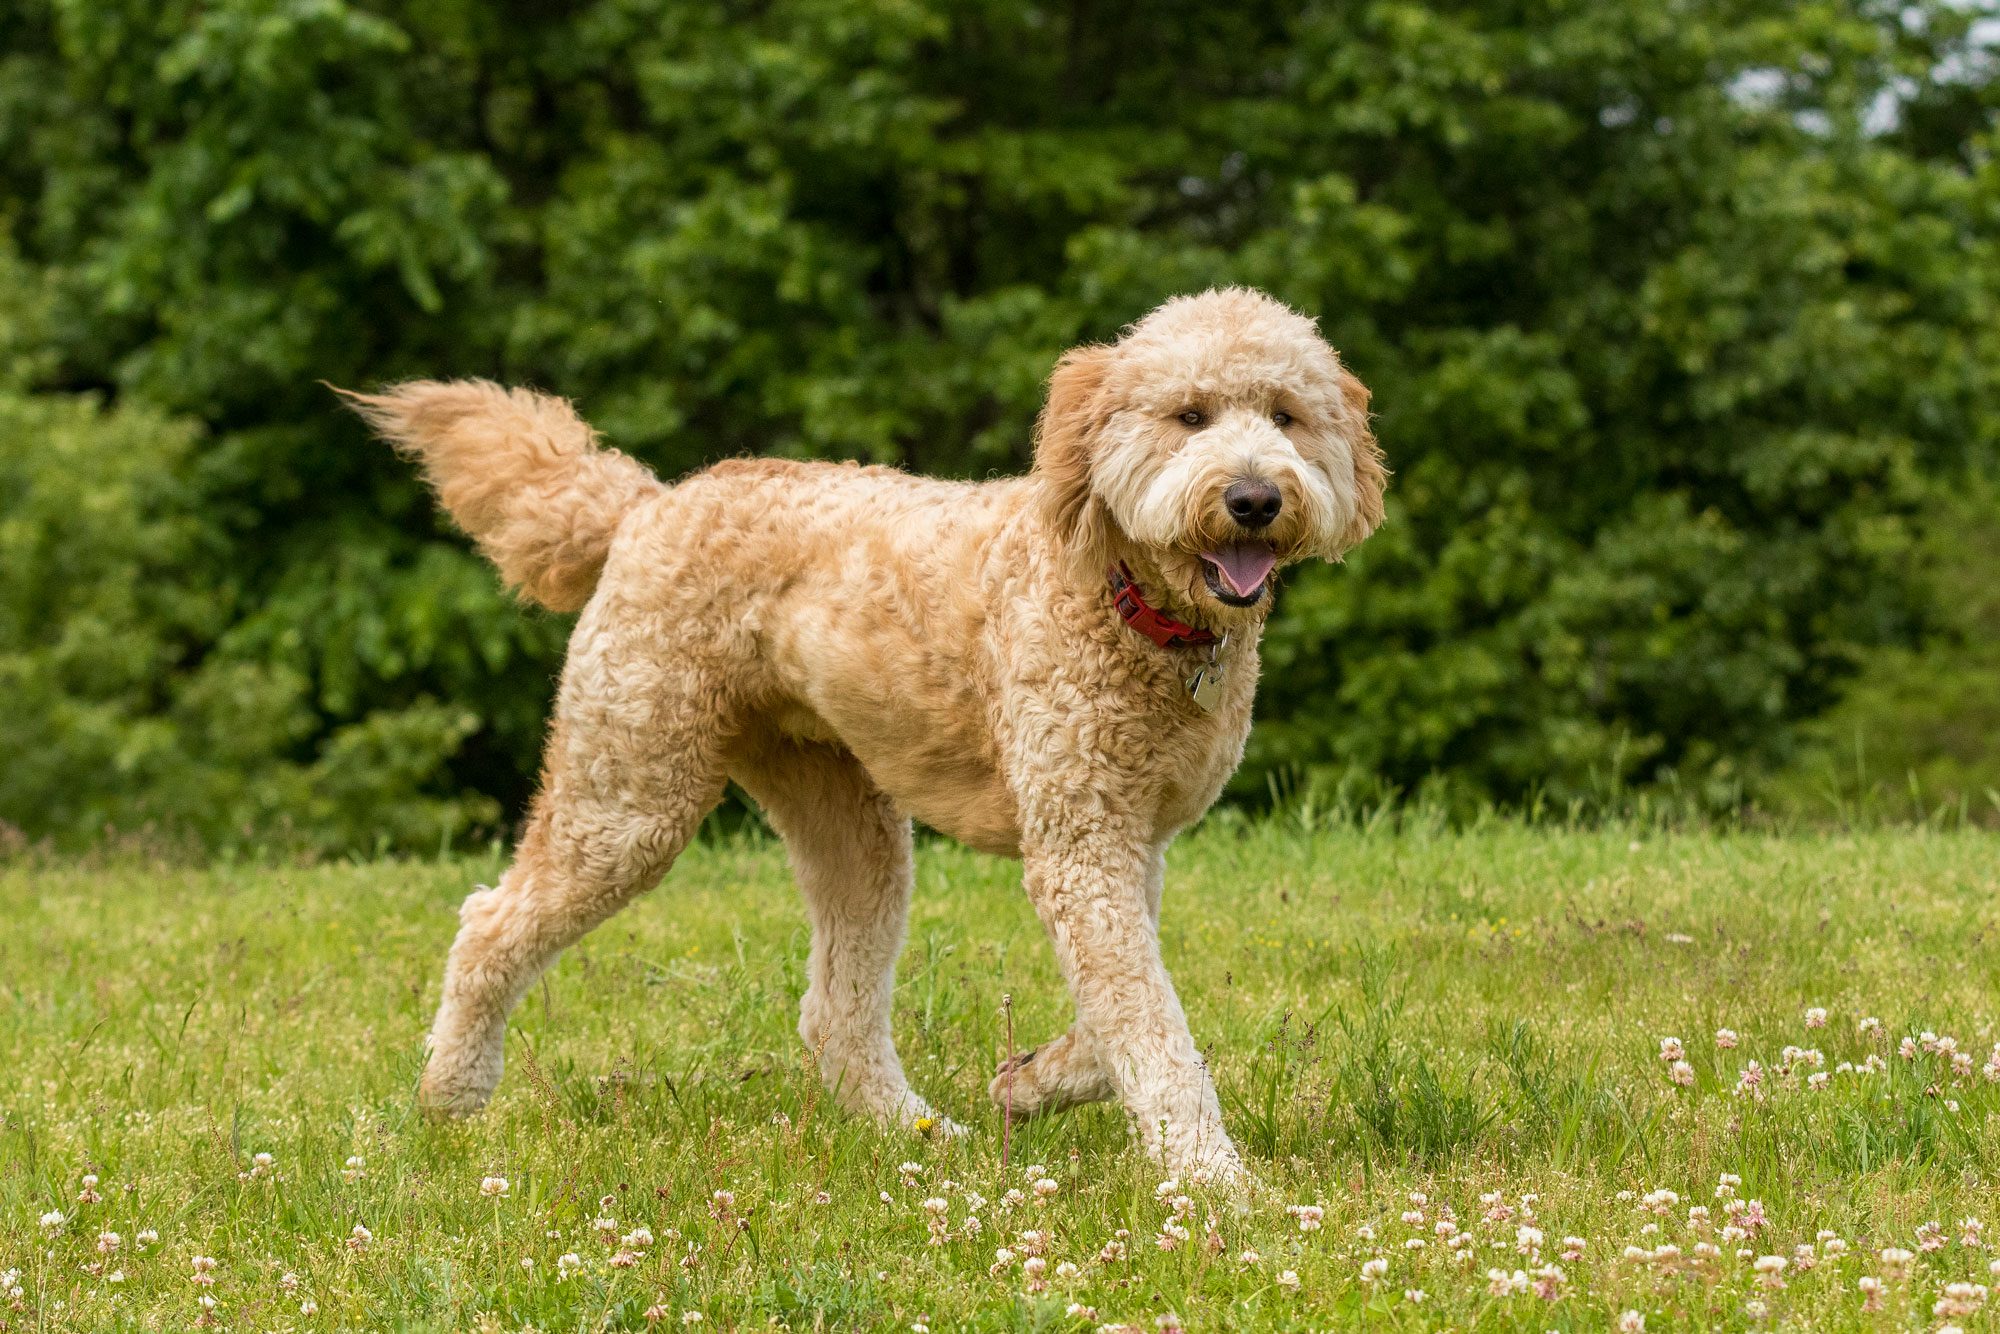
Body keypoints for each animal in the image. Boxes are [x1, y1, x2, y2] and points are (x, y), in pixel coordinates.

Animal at [348, 288, 1376, 1184]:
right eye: (1189, 415)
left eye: (1286, 416)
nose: (1254, 498)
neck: (1123, 598)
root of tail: (646, 504)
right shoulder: (1083, 847)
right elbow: (1152, 1026)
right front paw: (1214, 1181)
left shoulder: (1127, 841)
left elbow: (1124, 1008)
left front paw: (1033, 1082)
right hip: (631, 791)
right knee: (490, 921)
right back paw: (450, 1096)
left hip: (849, 821)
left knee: (832, 1013)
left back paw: (918, 1132)